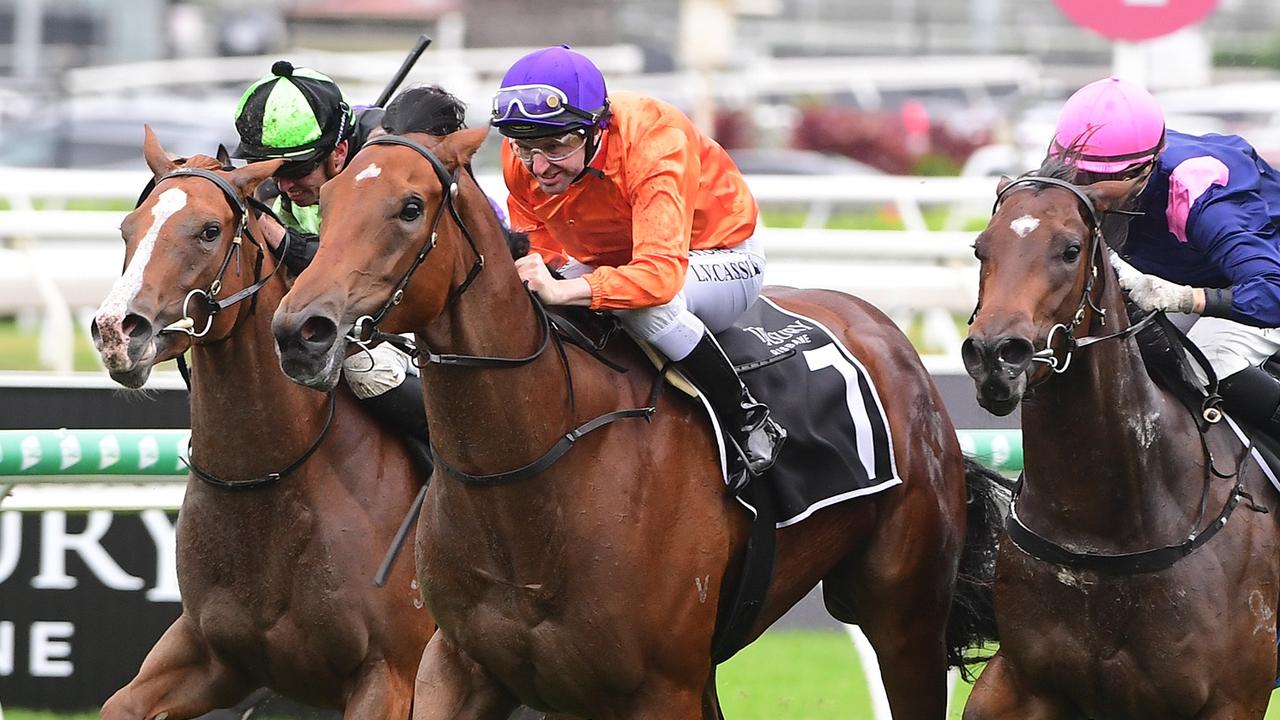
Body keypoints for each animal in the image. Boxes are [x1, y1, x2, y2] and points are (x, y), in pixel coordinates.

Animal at [90, 128, 432, 717]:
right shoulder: (210, 655)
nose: (116, 331)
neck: (266, 486)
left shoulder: (391, 675)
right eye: (128, 227)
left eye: (209, 231)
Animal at [270, 128, 1003, 717]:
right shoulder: (459, 666)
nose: (301, 332)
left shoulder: (656, 687)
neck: (532, 470)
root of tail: (888, 333)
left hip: (903, 616)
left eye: (410, 207)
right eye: (325, 202)